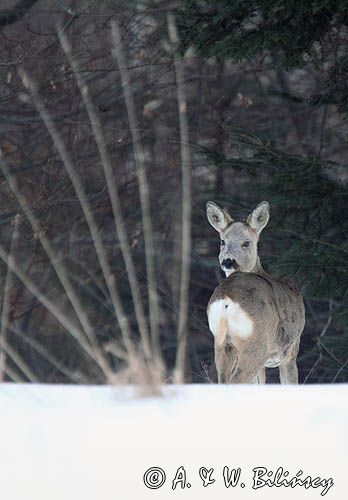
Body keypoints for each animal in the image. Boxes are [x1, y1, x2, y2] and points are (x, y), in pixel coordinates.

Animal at [207, 201, 304, 384]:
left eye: (247, 242)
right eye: (223, 241)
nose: (228, 261)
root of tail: (226, 300)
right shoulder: (291, 351)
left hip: (220, 343)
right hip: (256, 342)